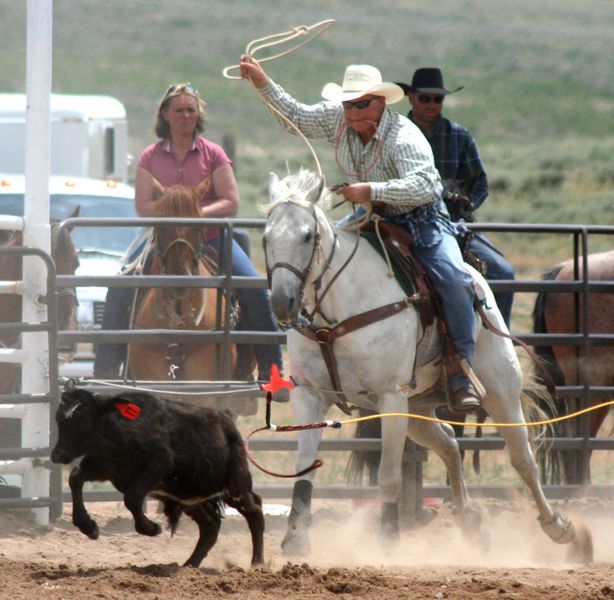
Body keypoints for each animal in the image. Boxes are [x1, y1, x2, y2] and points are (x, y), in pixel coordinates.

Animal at [262, 169, 596, 564]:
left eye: (307, 235)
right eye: (266, 237)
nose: (281, 302)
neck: (336, 311)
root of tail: (475, 277)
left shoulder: (390, 397)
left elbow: (389, 476)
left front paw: (388, 538)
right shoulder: (310, 395)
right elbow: (305, 466)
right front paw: (296, 538)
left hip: (500, 391)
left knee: (523, 458)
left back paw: (561, 528)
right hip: (418, 408)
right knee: (449, 443)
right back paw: (470, 522)